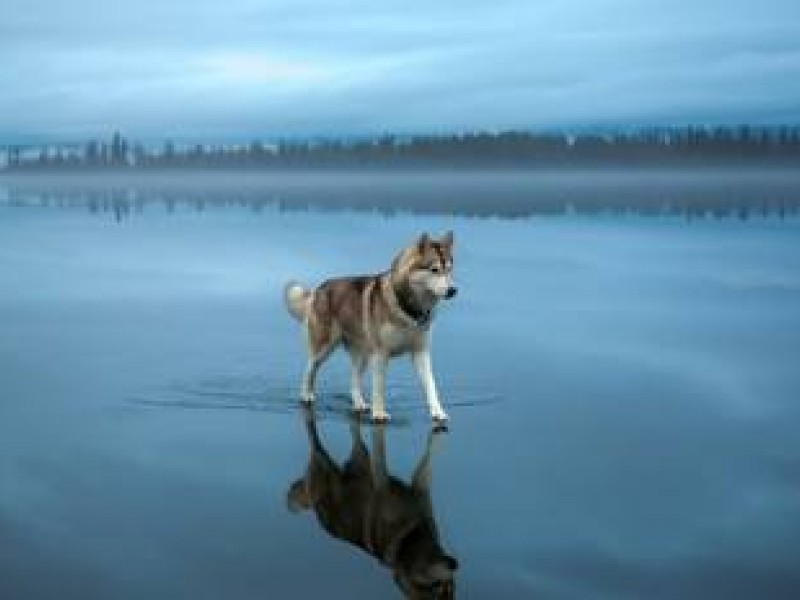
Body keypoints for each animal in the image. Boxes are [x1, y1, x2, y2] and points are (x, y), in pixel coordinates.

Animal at [284, 230, 456, 422]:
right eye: (434, 270)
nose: (453, 290)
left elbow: (431, 385)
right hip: (324, 349)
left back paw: (359, 404)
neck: (409, 309)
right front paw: (379, 413)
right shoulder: (381, 354)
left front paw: (438, 412)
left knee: (353, 380)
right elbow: (379, 387)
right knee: (309, 370)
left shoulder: (420, 352)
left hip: (363, 354)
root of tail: (318, 289)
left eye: (449, 269)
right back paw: (306, 395)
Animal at [290, 406, 460, 596]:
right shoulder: (381, 479)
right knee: (314, 439)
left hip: (361, 459)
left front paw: (438, 414)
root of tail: (316, 511)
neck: (411, 539)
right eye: (438, 589)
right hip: (322, 462)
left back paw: (360, 406)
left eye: (450, 592)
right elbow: (380, 450)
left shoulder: (421, 489)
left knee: (356, 432)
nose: (455, 565)